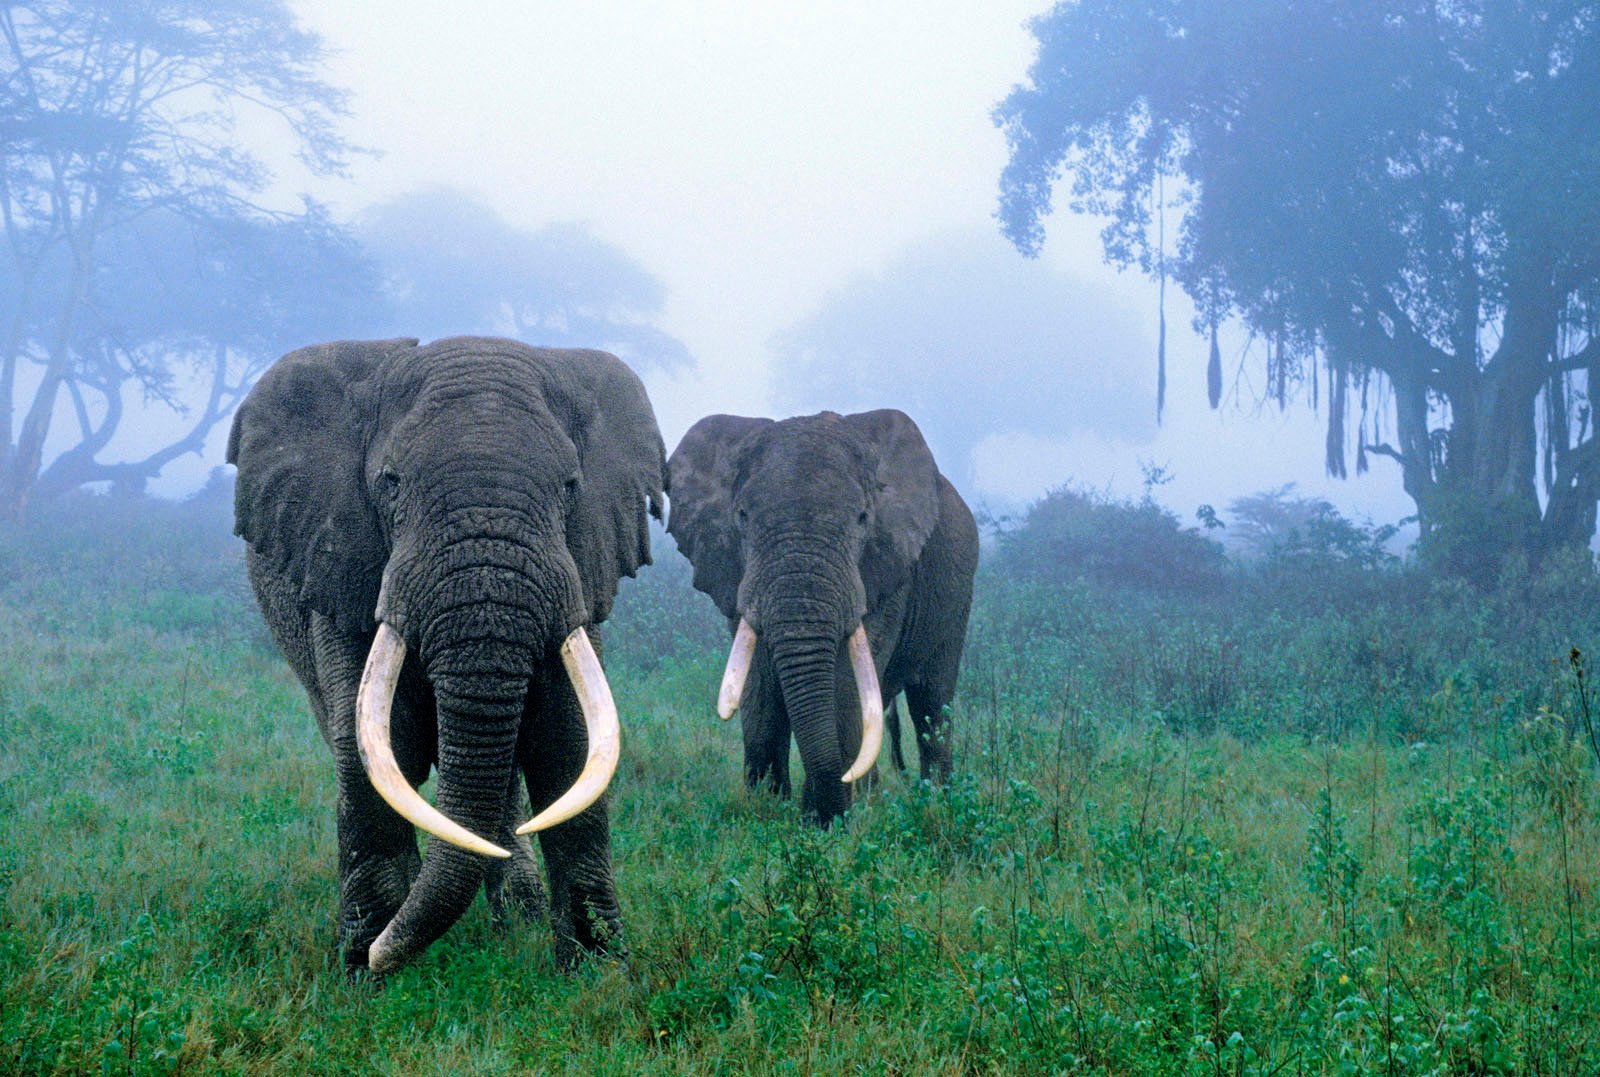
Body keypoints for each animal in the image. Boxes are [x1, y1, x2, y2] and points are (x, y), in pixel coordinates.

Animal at [228, 336, 664, 975]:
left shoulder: (583, 573)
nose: (378, 957)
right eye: (390, 482)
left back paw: (517, 918)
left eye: (570, 486)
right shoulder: (344, 567)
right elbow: (374, 746)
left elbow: (571, 744)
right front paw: (365, 970)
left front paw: (599, 972)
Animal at [666, 409, 978, 825]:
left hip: (955, 597)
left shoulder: (886, 568)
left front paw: (827, 823)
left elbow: (845, 682)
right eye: (742, 516)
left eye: (863, 517)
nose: (821, 814)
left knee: (931, 702)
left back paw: (936, 804)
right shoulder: (736, 572)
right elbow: (759, 684)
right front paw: (766, 810)